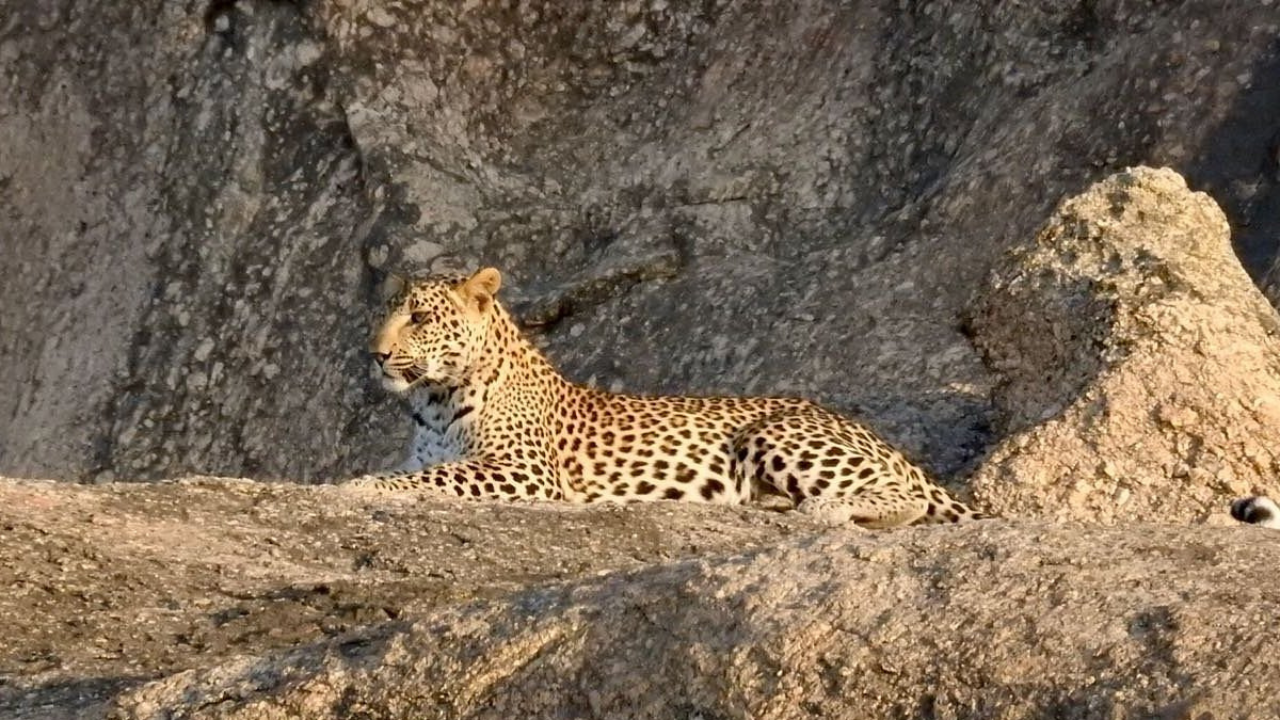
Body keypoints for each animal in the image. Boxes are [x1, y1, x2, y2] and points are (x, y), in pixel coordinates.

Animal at [344, 266, 989, 529]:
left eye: (420, 318)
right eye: (385, 315)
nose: (374, 354)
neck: (432, 401)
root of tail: (870, 432)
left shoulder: (524, 470)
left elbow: (435, 478)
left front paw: (364, 486)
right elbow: (424, 470)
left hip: (776, 434)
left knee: (906, 498)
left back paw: (820, 510)